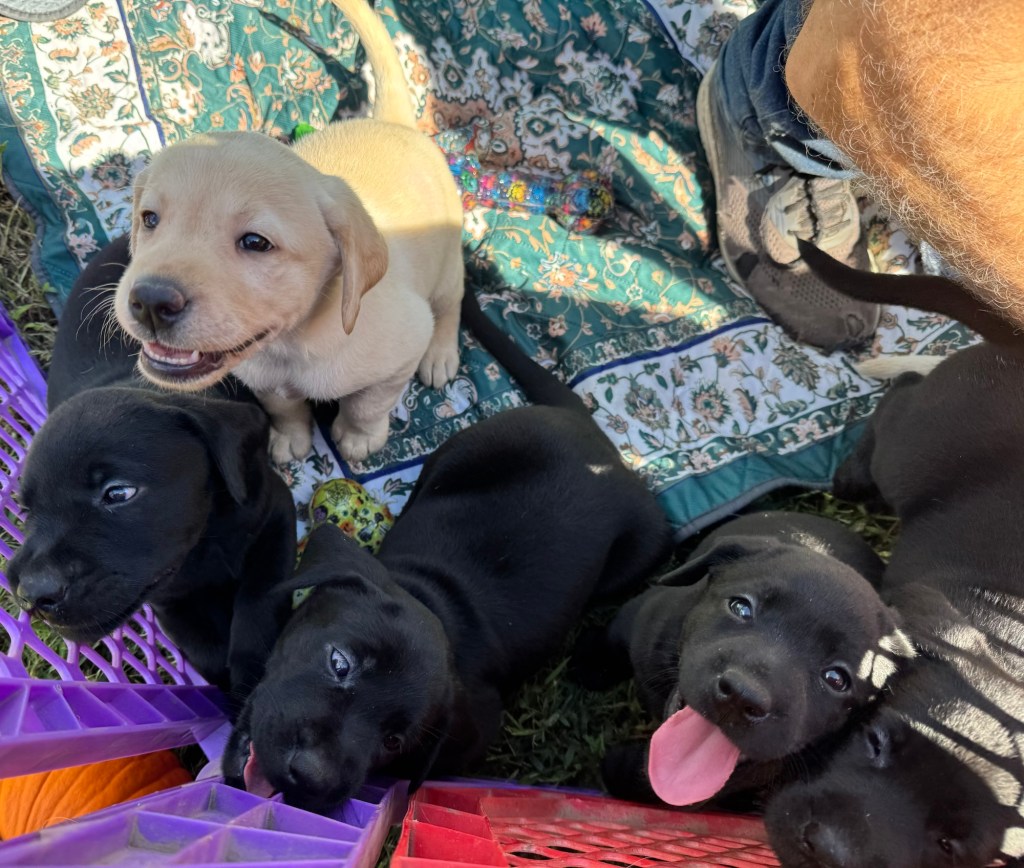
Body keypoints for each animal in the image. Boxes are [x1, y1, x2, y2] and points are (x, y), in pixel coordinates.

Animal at [7, 236, 296, 697]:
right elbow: (201, 645)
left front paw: (252, 680)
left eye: (118, 493)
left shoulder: (275, 514)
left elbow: (260, 599)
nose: (31, 596)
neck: (202, 544)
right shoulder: (167, 597)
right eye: (27, 510)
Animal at [113, 0, 464, 465]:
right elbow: (282, 405)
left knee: (452, 302)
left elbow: (369, 402)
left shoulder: (405, 344)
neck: (291, 345)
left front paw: (359, 437)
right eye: (150, 218)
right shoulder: (262, 376)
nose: (150, 302)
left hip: (447, 265)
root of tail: (396, 125)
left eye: (256, 243)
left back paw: (441, 354)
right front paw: (290, 437)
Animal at [220, 288, 673, 811]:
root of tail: (601, 443)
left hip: (642, 549)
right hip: (461, 448)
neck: (436, 599)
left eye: (394, 741)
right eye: (339, 663)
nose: (309, 776)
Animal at [571, 510, 911, 808]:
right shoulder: (644, 613)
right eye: (741, 607)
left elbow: (657, 786)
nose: (741, 696)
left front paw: (617, 767)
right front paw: (588, 663)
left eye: (836, 679)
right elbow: (613, 635)